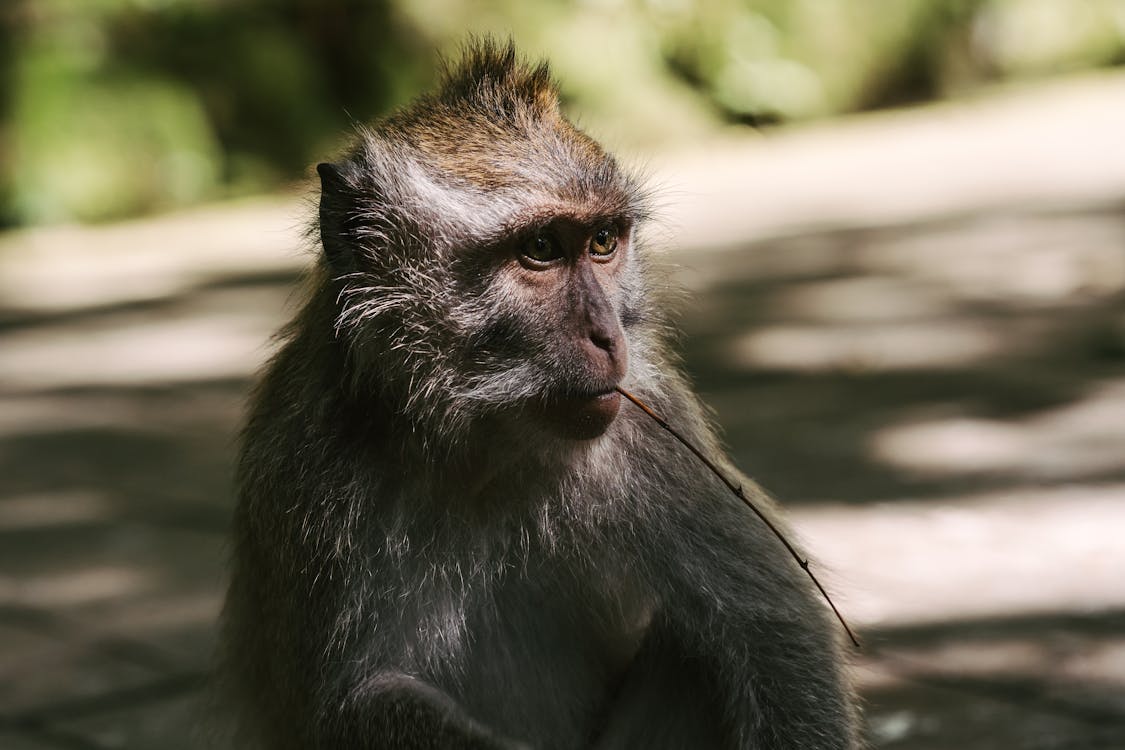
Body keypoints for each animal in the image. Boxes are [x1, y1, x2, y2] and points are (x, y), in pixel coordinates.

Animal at [221, 41, 859, 750]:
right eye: (541, 249)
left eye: (604, 242)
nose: (608, 336)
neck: (473, 446)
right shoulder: (304, 474)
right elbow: (351, 705)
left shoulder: (650, 433)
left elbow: (772, 635)